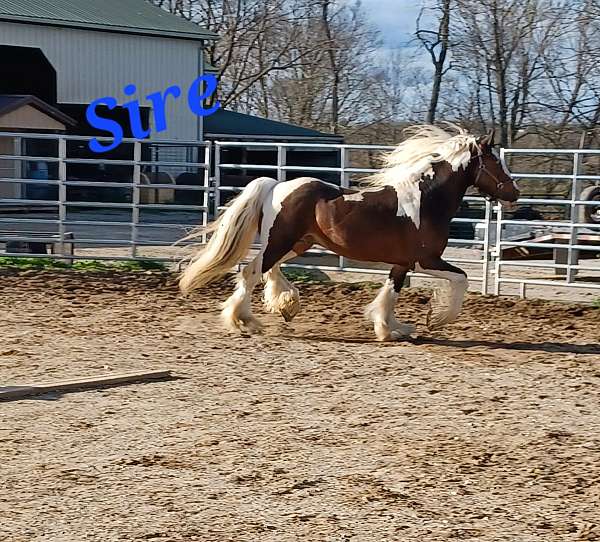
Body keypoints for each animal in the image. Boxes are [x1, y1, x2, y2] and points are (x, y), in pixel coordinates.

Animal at [178, 125, 520, 342]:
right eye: (495, 161)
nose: (514, 194)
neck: (425, 199)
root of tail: (276, 185)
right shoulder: (426, 260)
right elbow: (461, 279)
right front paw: (435, 320)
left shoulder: (403, 263)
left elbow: (390, 293)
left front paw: (392, 329)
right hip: (281, 241)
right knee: (251, 272)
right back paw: (244, 322)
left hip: (298, 243)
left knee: (268, 270)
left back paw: (287, 306)